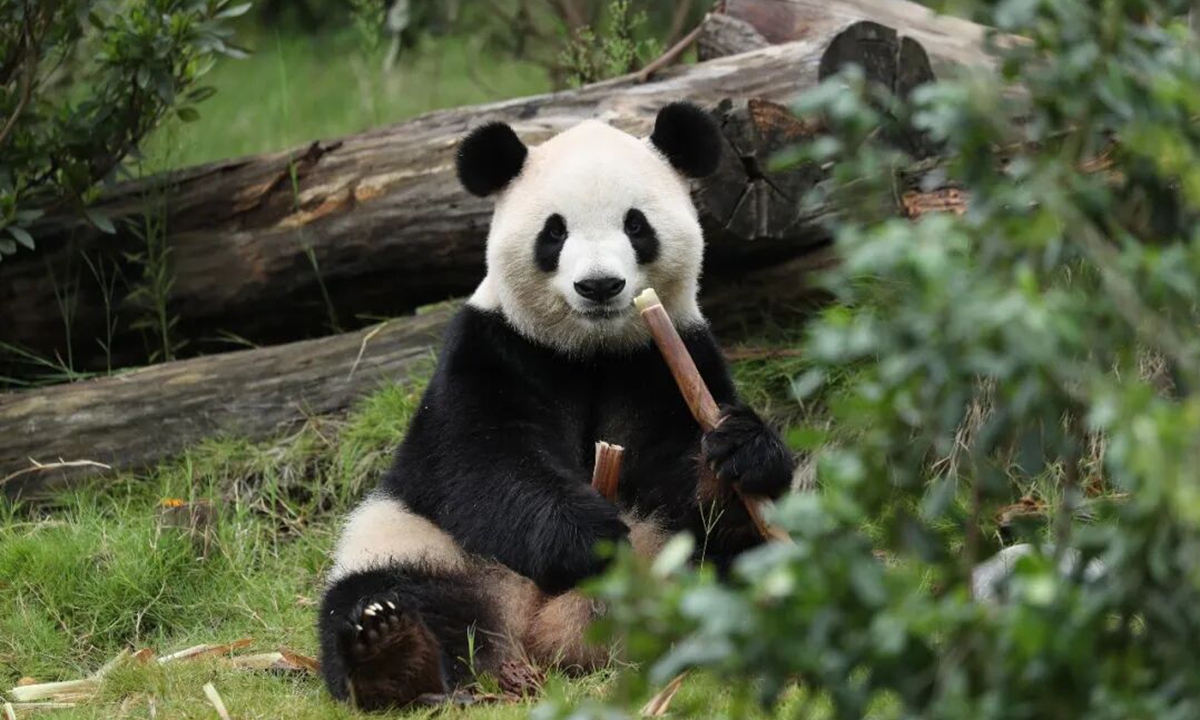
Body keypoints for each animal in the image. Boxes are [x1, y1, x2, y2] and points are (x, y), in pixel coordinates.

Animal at [317, 102, 797, 710]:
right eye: (555, 231)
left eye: (636, 225)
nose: (599, 286)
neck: (590, 351)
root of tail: (541, 636)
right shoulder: (491, 348)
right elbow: (480, 460)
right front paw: (586, 537)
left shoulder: (667, 357)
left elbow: (680, 471)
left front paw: (738, 452)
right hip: (419, 541)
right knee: (383, 590)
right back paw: (394, 653)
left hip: (671, 560)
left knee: (738, 563)